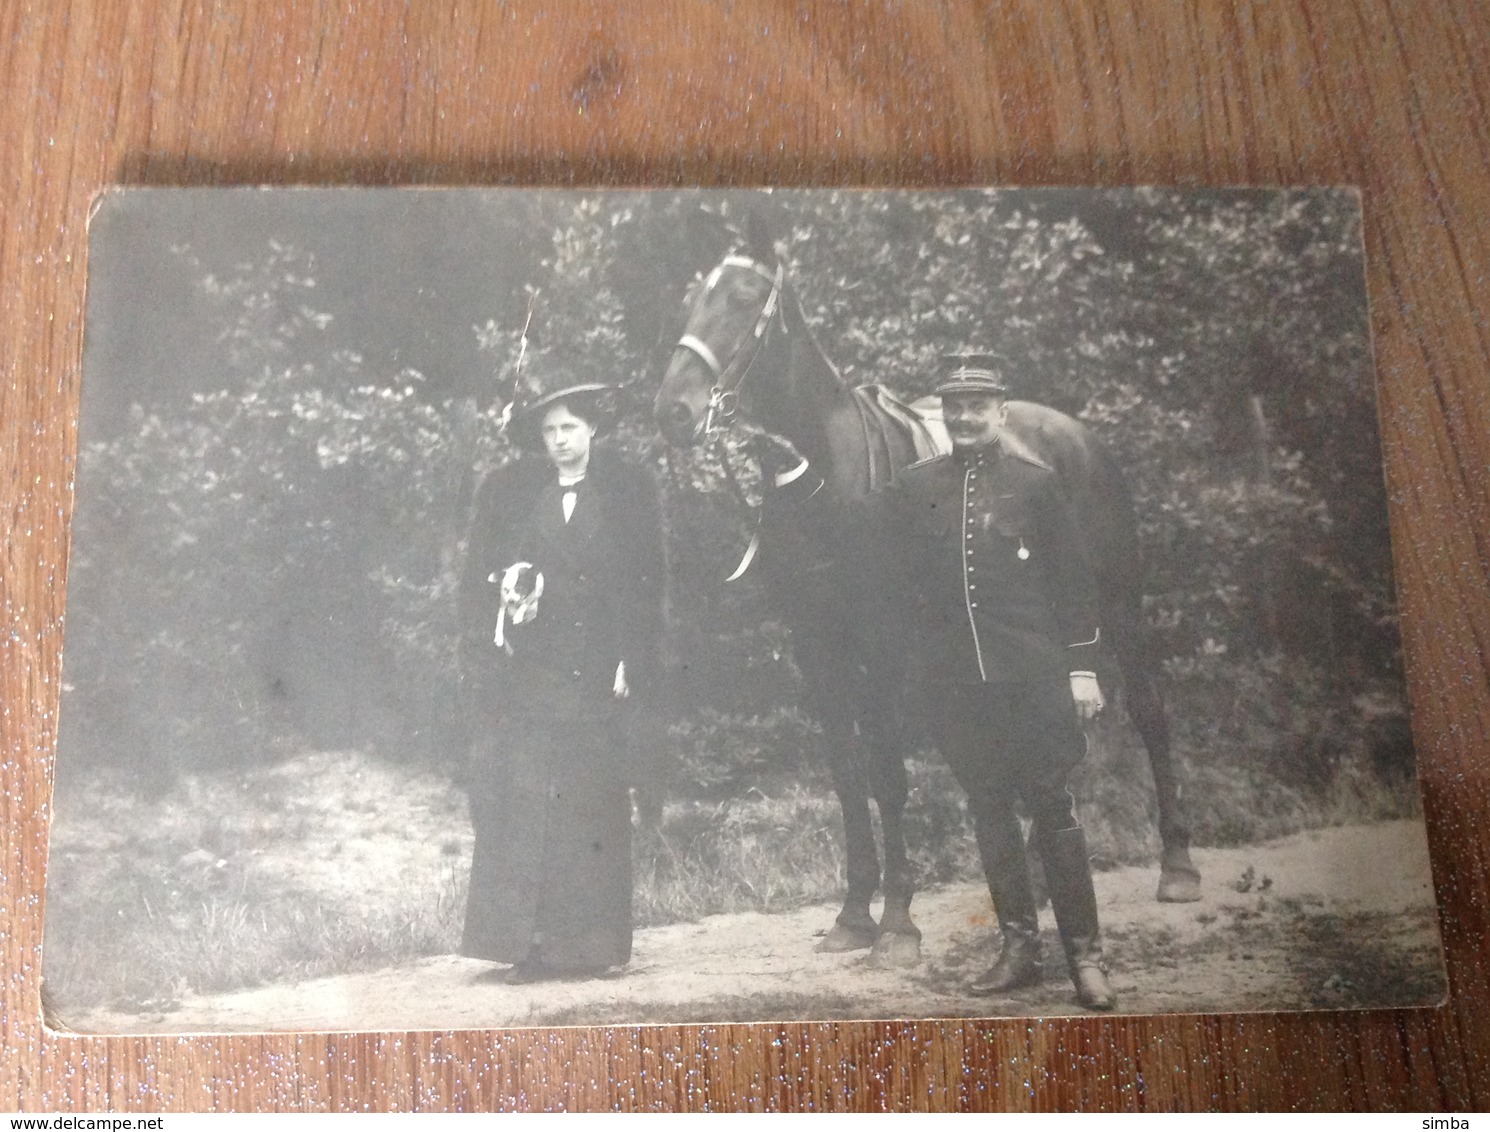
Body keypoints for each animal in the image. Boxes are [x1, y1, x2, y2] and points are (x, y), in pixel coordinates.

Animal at [652, 232, 1197, 971]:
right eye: (691, 299)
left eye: (741, 300)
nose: (672, 410)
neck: (824, 472)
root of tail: (1079, 434)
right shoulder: (817, 647)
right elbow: (848, 775)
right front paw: (853, 914)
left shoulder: (881, 647)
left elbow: (887, 774)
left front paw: (896, 925)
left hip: (1118, 608)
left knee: (1150, 712)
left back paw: (1178, 866)